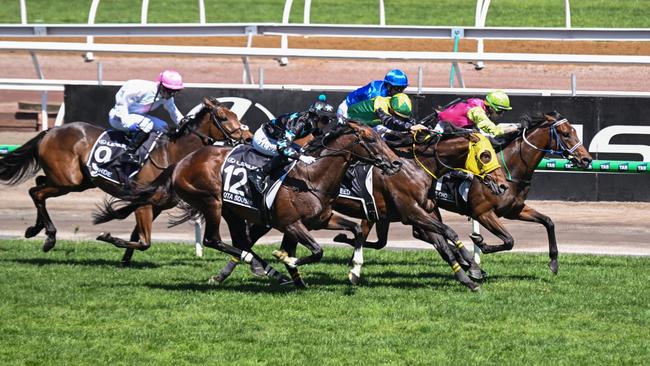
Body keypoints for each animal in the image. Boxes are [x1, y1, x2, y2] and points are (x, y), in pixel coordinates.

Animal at [0, 96, 251, 264]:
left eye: (236, 116)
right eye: (223, 117)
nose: (247, 137)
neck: (173, 152)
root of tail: (51, 131)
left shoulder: (155, 204)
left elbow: (137, 236)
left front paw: (124, 259)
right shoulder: (145, 202)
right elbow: (144, 241)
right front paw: (111, 240)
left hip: (77, 181)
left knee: (39, 183)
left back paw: (34, 229)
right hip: (68, 182)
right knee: (36, 192)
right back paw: (49, 237)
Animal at [334, 111, 592, 278]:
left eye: (574, 131)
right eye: (565, 133)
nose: (586, 159)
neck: (510, 168)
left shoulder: (515, 209)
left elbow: (548, 222)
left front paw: (554, 263)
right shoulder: (483, 212)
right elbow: (509, 240)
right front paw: (479, 244)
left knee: (414, 233)